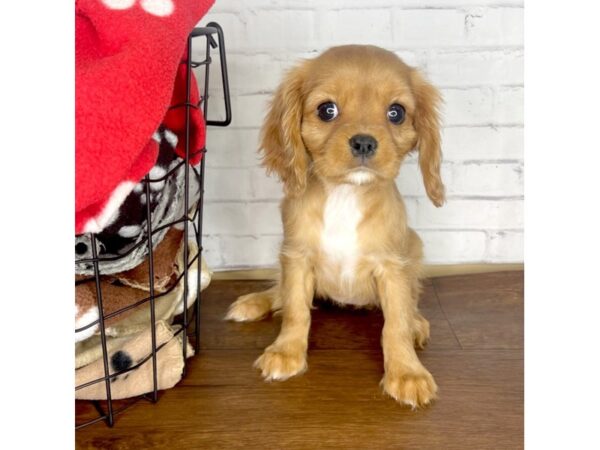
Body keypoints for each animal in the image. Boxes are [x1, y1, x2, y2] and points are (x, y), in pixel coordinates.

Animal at [227, 45, 442, 408]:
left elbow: (395, 324)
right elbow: (296, 309)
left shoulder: (393, 267)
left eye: (396, 113)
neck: (346, 194)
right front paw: (287, 352)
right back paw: (254, 302)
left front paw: (406, 373)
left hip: (415, 248)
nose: (364, 142)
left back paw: (417, 322)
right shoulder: (296, 257)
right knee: (279, 291)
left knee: (411, 302)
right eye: (327, 110)